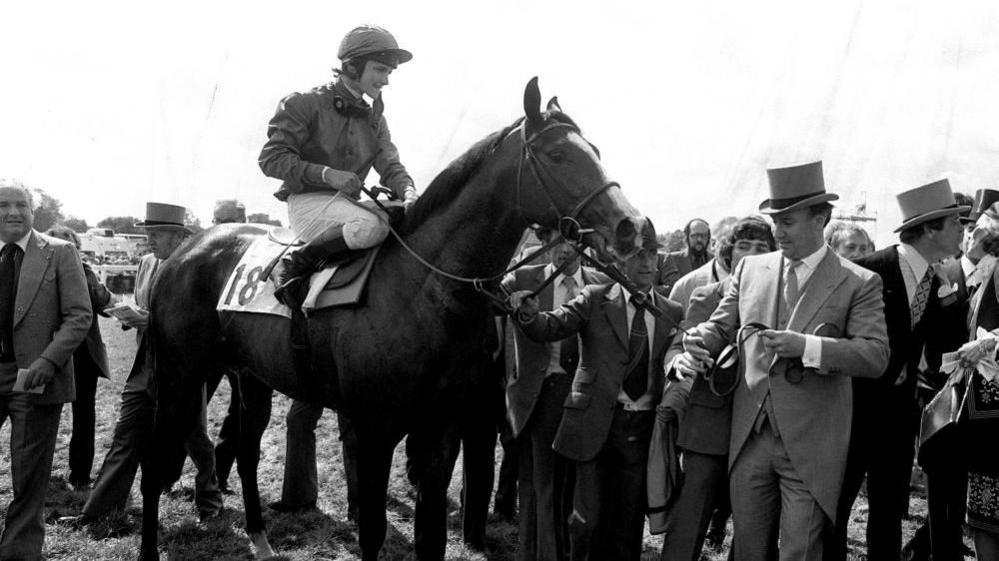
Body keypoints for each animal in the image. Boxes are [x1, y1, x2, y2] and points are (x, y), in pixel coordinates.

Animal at [141, 79, 648, 560]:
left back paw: (261, 539)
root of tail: (184, 251)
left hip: (252, 375)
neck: (421, 288)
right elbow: (372, 529)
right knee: (153, 465)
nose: (631, 226)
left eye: (595, 151)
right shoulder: (375, 427)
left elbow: (432, 536)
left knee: (245, 451)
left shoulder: (441, 425)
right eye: (559, 154)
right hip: (181, 374)